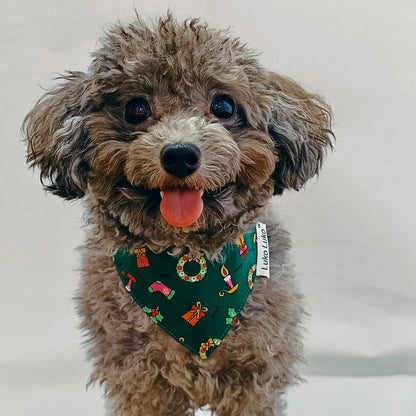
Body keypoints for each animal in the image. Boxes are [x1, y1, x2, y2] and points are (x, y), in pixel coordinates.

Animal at [23, 13, 334, 416]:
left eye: (224, 107)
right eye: (136, 109)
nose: (180, 154)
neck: (188, 262)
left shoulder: (256, 373)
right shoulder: (139, 378)